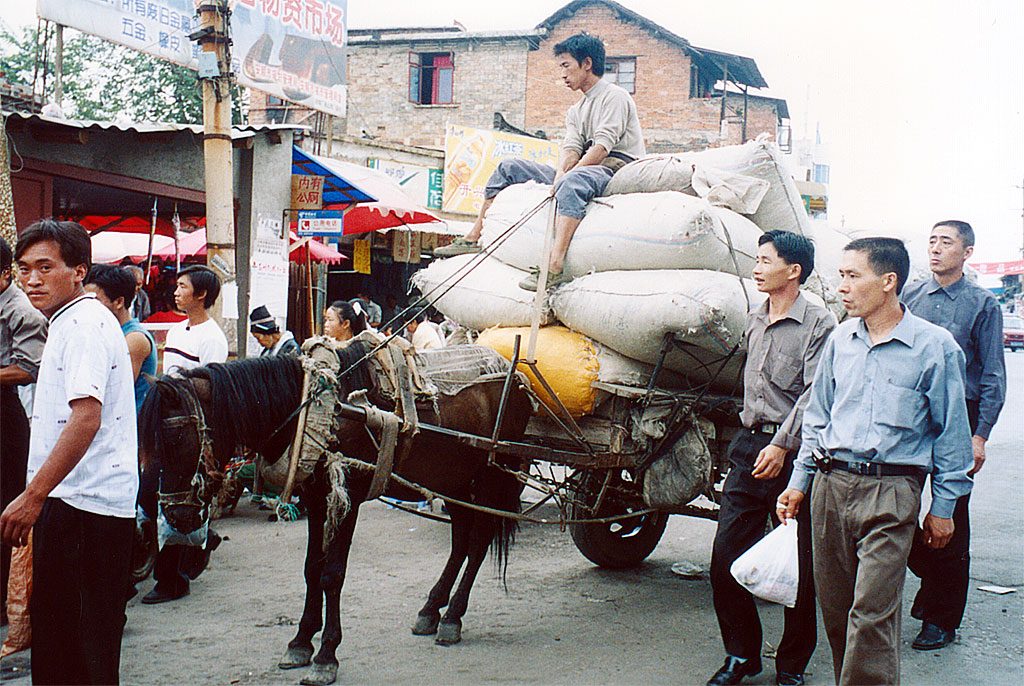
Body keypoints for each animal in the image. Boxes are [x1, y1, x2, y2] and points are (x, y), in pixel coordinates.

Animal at [136, 339, 532, 686]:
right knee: (461, 540)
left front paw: (326, 656)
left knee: (478, 543)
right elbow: (312, 570)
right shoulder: (315, 499)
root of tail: (515, 375)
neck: (315, 409)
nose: (176, 515)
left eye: (175, 439)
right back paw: (431, 610)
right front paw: (299, 643)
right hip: (454, 481)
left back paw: (452, 617)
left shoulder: (348, 499)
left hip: (493, 477)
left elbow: (332, 575)